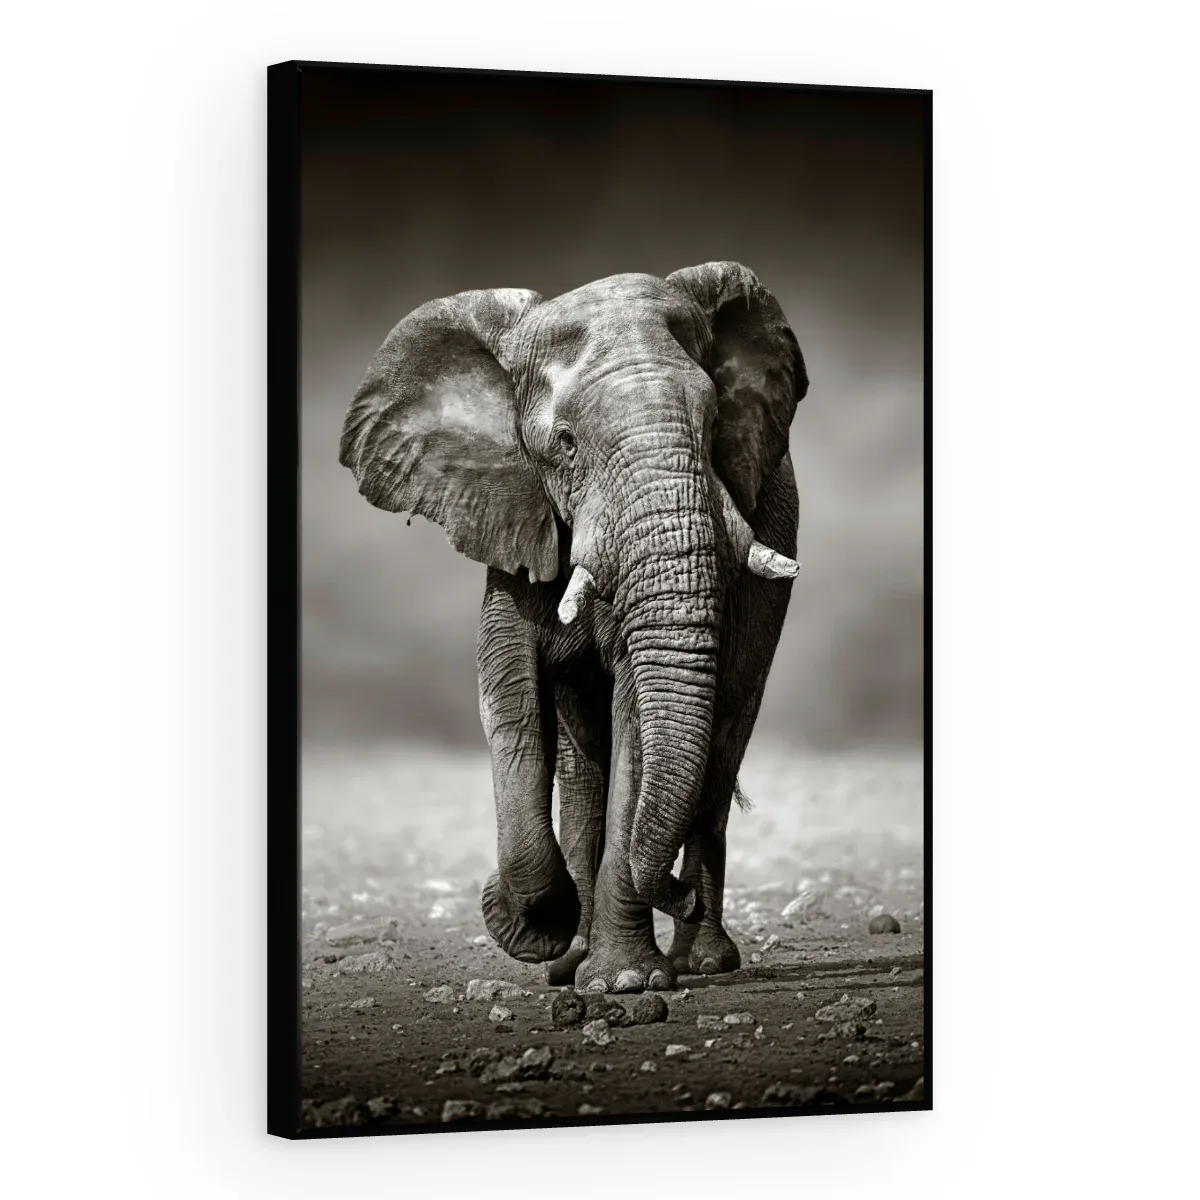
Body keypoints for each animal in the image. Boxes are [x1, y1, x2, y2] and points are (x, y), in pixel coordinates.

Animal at [339, 261, 807, 993]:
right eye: (564, 445)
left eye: (712, 430)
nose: (677, 896)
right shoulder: (512, 517)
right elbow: (510, 699)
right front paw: (533, 932)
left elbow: (637, 717)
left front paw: (625, 982)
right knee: (584, 764)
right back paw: (572, 959)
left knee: (722, 741)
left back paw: (701, 961)